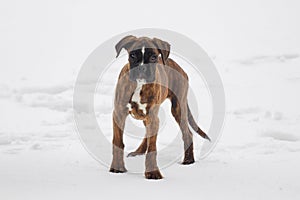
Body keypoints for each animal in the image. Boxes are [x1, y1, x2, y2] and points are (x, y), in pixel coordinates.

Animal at [109, 34, 210, 180]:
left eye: (153, 57)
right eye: (133, 55)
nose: (142, 68)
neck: (139, 85)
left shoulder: (153, 116)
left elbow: (152, 148)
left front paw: (152, 172)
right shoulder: (118, 114)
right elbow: (118, 142)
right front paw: (117, 168)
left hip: (178, 109)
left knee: (187, 133)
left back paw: (188, 160)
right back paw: (138, 152)